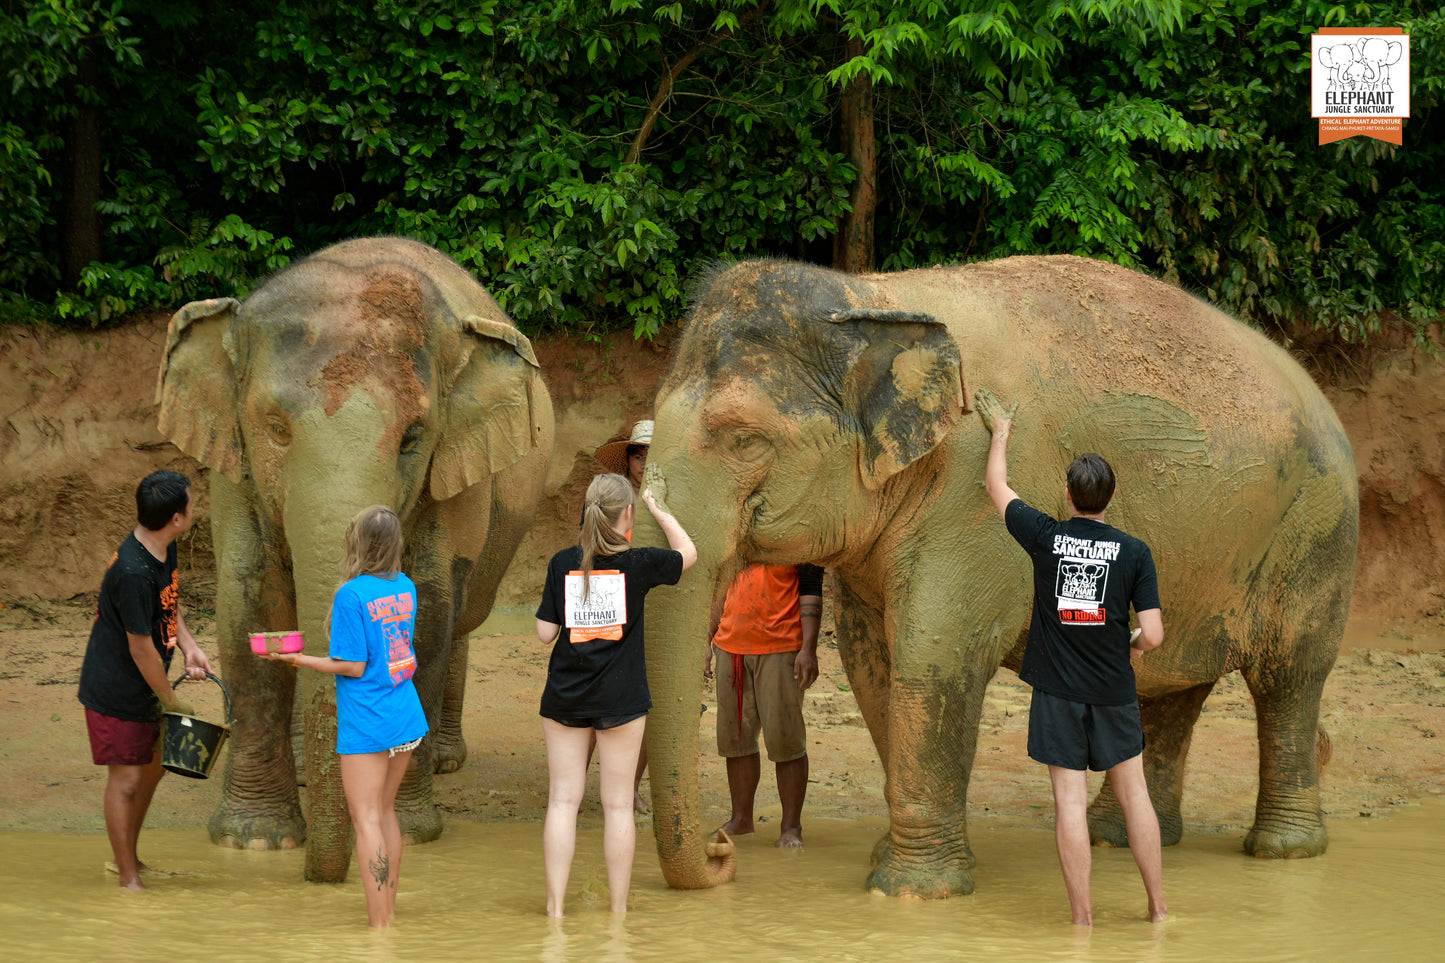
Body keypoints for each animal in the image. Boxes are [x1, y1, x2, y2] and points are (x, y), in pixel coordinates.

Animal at [156, 234, 551, 879]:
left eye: (413, 437)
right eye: (274, 428)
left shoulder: (453, 474)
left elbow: (429, 612)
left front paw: (407, 831)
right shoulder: (233, 470)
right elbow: (249, 604)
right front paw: (254, 842)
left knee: (462, 617)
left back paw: (443, 761)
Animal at [632, 253, 1352, 890]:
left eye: (744, 439)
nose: (721, 850)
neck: (873, 296)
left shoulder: (969, 495)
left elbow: (934, 655)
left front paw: (912, 891)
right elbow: (872, 663)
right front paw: (890, 862)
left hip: (1315, 534)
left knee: (1288, 674)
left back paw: (1282, 850)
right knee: (1171, 687)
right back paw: (1118, 838)